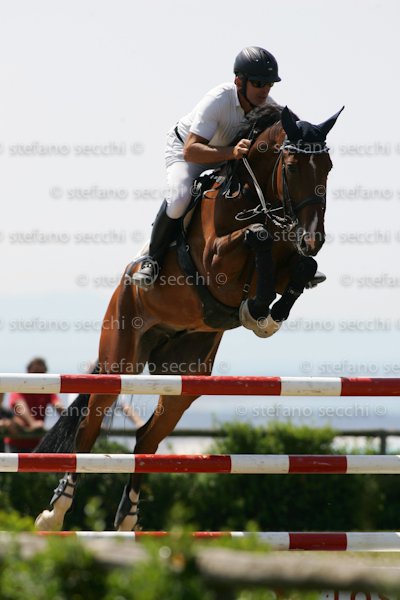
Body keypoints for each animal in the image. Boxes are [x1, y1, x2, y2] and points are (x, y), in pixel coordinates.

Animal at [35, 103, 343, 531]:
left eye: (327, 167)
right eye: (293, 166)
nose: (314, 236)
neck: (254, 198)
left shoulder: (288, 258)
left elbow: (300, 267)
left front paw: (268, 313)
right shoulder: (217, 263)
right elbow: (258, 236)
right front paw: (258, 309)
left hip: (186, 377)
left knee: (147, 438)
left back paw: (128, 516)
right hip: (119, 360)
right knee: (88, 428)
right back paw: (55, 512)